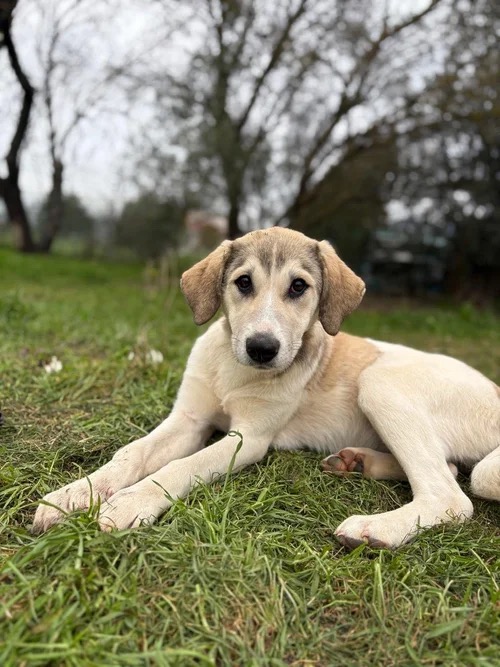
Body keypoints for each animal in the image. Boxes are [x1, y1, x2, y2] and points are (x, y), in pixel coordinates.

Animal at [33, 228, 500, 548]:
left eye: (299, 286)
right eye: (243, 283)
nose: (261, 348)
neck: (233, 370)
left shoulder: (248, 438)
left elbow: (178, 468)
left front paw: (131, 503)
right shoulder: (189, 419)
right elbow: (132, 454)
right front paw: (78, 492)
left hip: (379, 382)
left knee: (451, 496)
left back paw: (375, 529)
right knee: (451, 469)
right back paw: (358, 462)